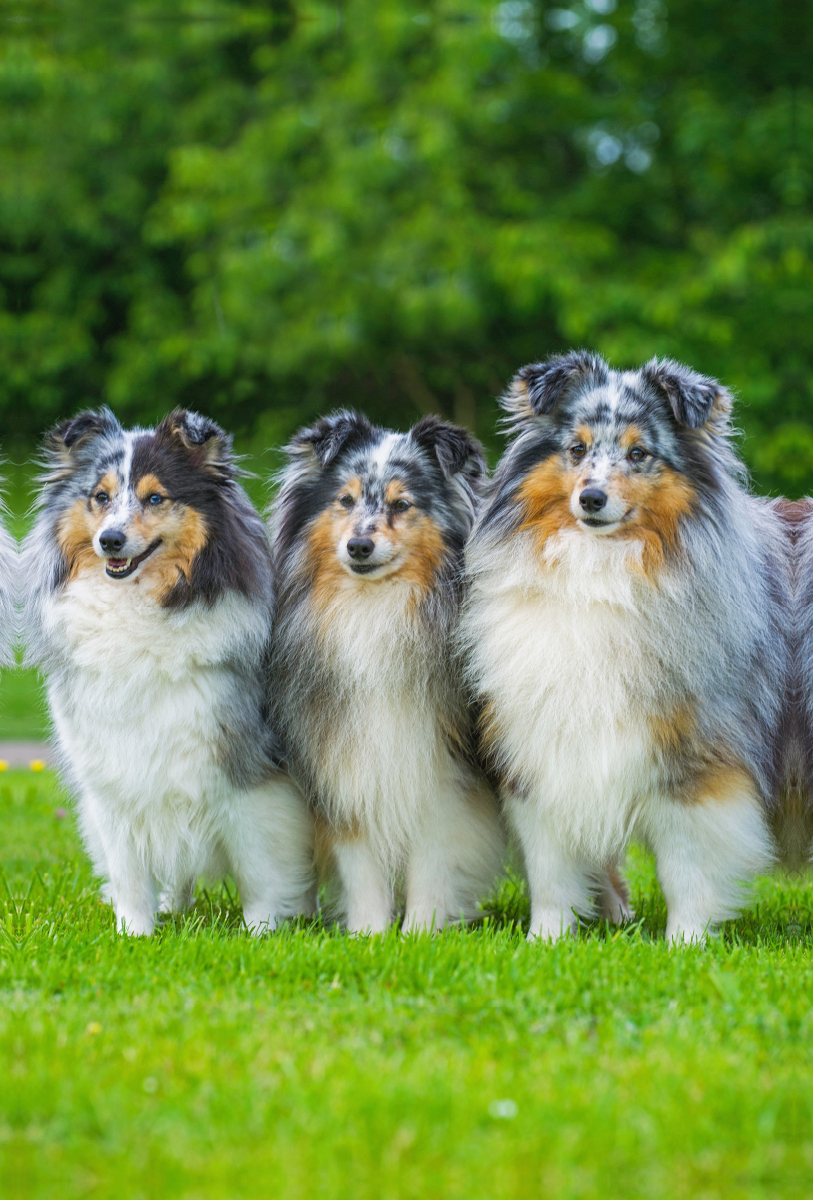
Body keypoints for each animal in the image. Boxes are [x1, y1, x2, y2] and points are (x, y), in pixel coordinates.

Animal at [22, 408, 314, 931]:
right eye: (100, 497)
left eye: (155, 497)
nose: (110, 540)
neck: (139, 606)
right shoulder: (113, 773)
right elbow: (129, 869)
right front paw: (134, 933)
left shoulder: (245, 767)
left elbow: (260, 865)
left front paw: (263, 932)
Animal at [271, 415, 506, 936]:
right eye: (345, 500)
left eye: (402, 504)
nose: (359, 546)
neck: (376, 607)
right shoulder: (345, 763)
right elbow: (361, 866)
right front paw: (370, 935)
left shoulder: (440, 771)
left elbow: (431, 862)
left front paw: (420, 932)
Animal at [462, 350, 791, 940]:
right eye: (576, 449)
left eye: (639, 453)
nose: (591, 498)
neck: (600, 574)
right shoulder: (543, 746)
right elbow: (550, 866)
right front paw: (544, 940)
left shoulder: (698, 759)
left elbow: (687, 866)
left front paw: (686, 942)